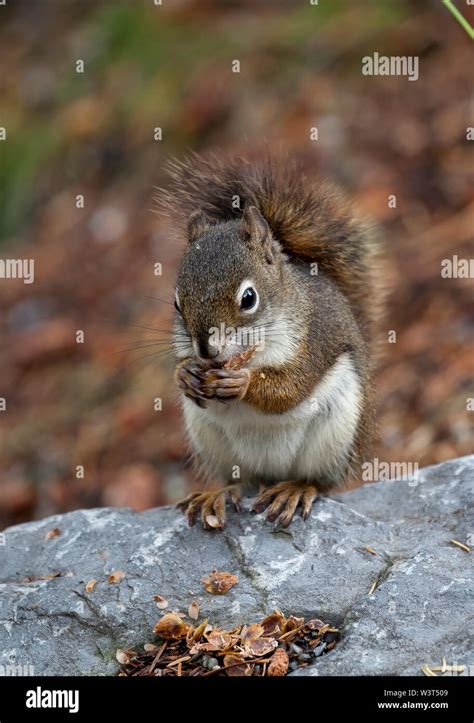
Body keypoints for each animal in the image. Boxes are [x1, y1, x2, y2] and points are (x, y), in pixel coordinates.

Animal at [157, 150, 384, 528]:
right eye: (176, 303)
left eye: (248, 298)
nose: (205, 349)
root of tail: (272, 475)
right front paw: (185, 374)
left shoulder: (314, 338)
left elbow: (292, 387)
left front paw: (242, 382)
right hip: (212, 442)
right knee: (241, 481)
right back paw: (219, 494)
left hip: (336, 433)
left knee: (319, 482)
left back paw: (295, 490)